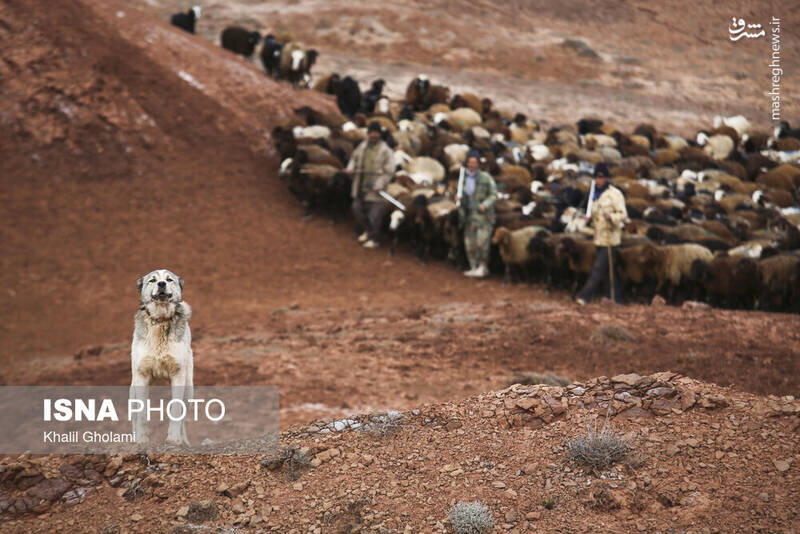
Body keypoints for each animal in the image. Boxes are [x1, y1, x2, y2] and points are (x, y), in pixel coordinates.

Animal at [132, 268, 195, 448]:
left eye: (169, 279)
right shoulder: (142, 375)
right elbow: (142, 413)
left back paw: (184, 440)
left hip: (189, 390)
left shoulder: (178, 375)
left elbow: (176, 410)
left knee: (183, 419)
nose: (161, 284)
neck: (160, 321)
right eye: (152, 280)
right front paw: (141, 439)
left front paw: (173, 439)